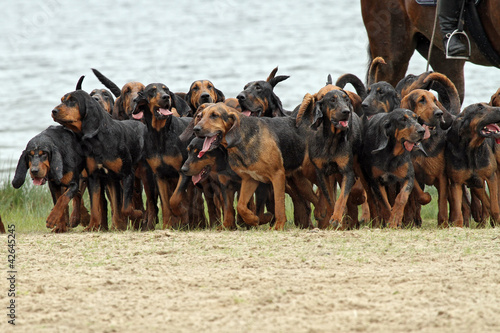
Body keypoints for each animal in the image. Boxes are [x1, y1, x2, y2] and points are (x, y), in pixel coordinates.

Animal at [52, 87, 147, 230]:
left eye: (73, 101)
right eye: (62, 100)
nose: (54, 111)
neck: (98, 140)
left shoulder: (127, 174)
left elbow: (125, 207)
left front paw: (138, 214)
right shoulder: (94, 177)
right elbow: (96, 205)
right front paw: (92, 226)